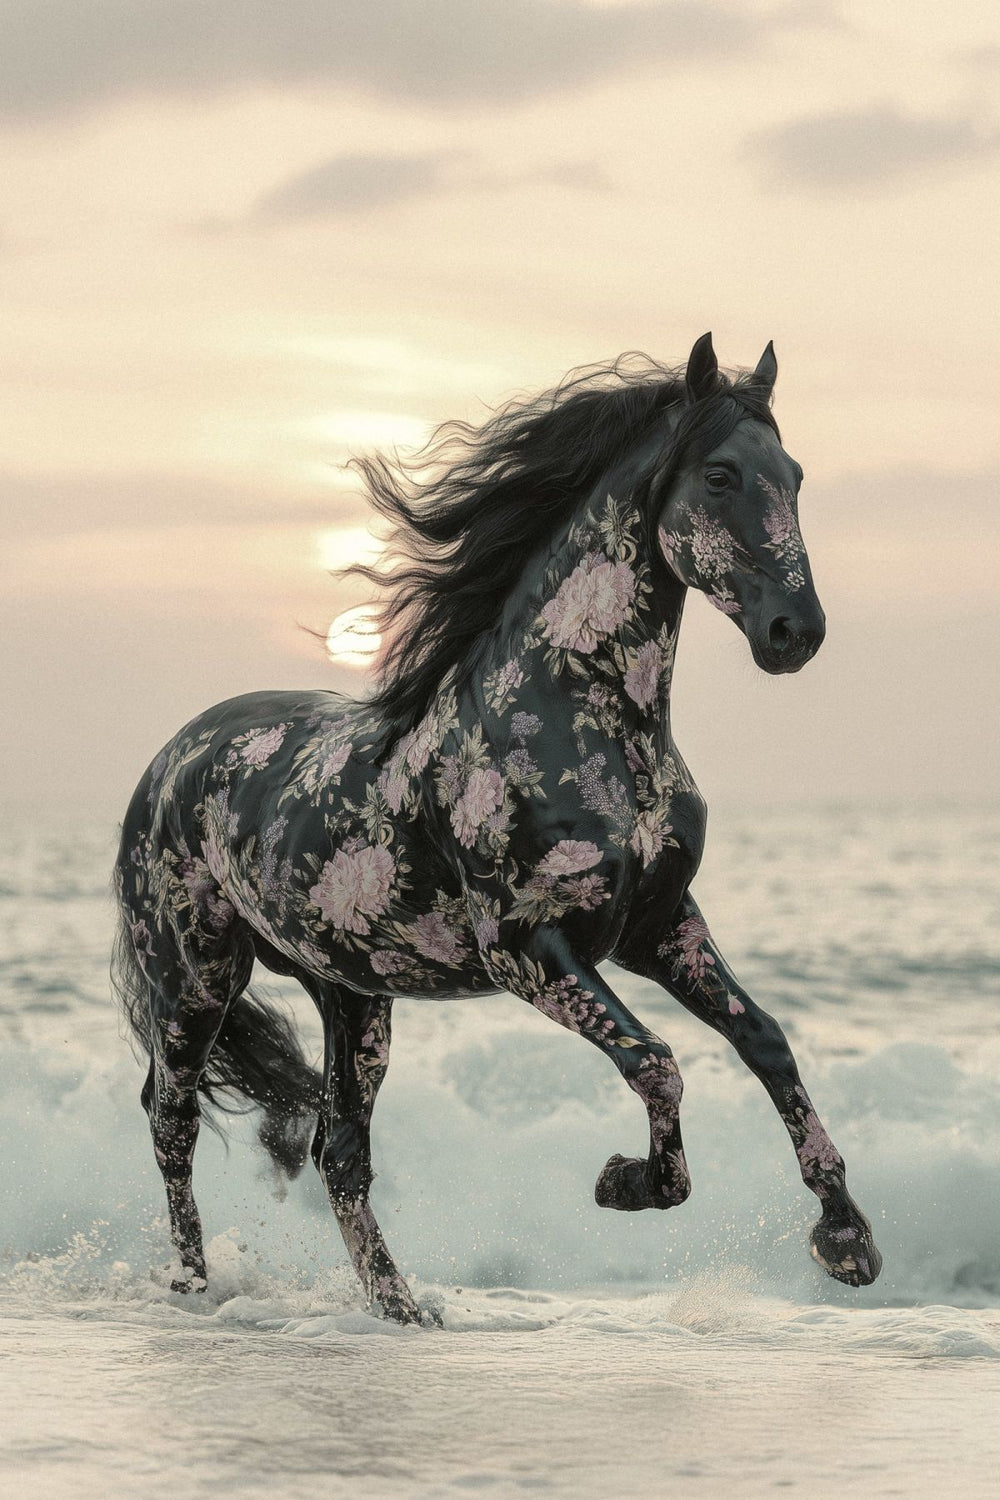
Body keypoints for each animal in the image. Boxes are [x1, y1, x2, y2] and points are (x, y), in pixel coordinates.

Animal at [112, 332, 882, 1323]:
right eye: (719, 475)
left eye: (793, 475)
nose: (797, 632)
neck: (582, 720)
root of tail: (169, 761)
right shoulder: (529, 952)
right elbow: (659, 1062)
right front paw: (627, 1182)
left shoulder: (659, 927)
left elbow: (767, 1044)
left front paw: (847, 1240)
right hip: (196, 974)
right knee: (172, 1119)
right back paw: (195, 1289)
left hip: (353, 995)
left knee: (338, 1150)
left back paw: (403, 1308)